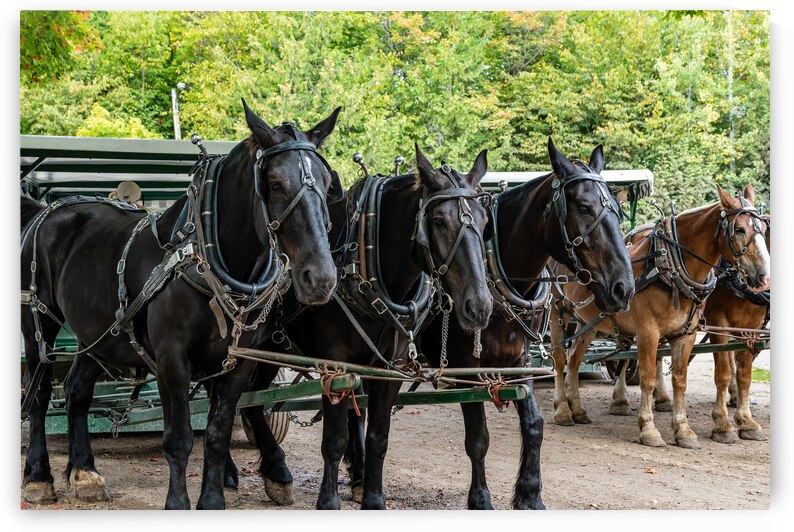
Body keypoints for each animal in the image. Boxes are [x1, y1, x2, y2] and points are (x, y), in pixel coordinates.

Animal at [20, 100, 343, 509]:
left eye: (329, 184)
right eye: (274, 184)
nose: (321, 278)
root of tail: (43, 211)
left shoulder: (237, 364)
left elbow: (218, 434)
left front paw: (213, 500)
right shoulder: (172, 359)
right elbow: (179, 438)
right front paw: (178, 502)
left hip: (96, 334)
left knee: (77, 390)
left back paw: (84, 472)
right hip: (37, 324)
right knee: (40, 395)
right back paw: (38, 477)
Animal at [235, 143, 494, 510]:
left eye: (485, 221)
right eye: (439, 221)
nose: (480, 306)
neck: (366, 266)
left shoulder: (390, 370)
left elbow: (378, 437)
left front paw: (372, 497)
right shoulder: (335, 366)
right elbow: (334, 440)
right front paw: (328, 501)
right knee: (245, 399)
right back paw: (272, 472)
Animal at [550, 184, 770, 449]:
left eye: (764, 229)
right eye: (739, 229)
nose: (763, 277)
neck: (668, 266)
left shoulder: (690, 334)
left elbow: (683, 379)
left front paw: (684, 430)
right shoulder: (649, 332)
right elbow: (648, 378)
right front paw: (649, 429)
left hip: (588, 323)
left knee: (573, 360)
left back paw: (578, 409)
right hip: (558, 311)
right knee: (559, 359)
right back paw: (563, 410)